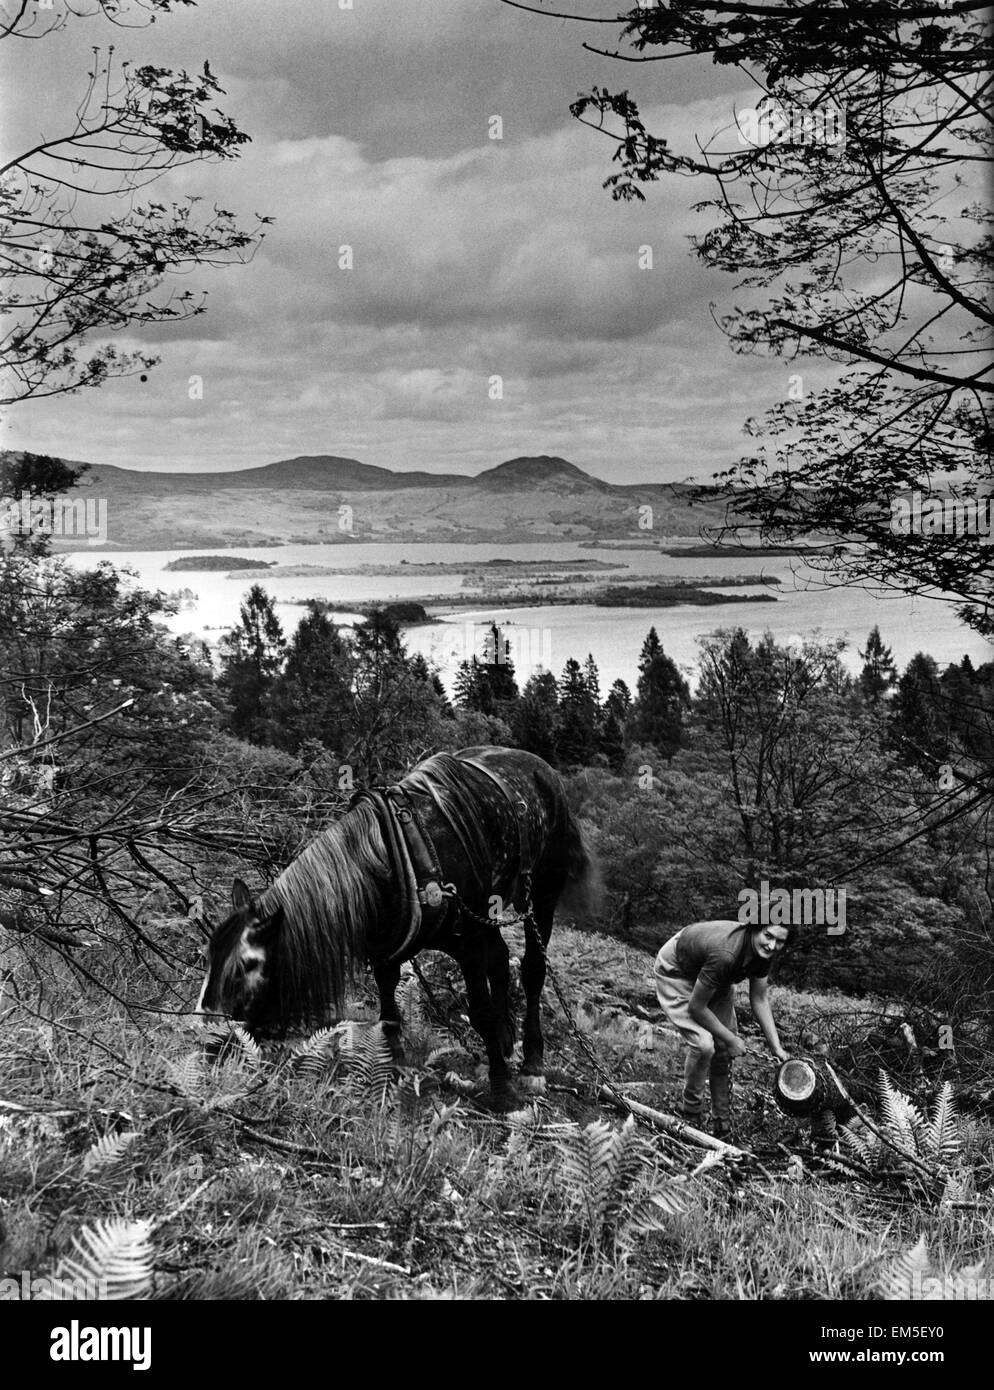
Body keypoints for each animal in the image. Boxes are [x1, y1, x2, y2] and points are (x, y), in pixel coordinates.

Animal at [196, 745, 597, 1100]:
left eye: (245, 968)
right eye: (209, 958)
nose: (206, 1042)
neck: (395, 858)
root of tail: (545, 772)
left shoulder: (469, 941)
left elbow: (479, 1011)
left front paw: (502, 1093)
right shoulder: (387, 950)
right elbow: (389, 1012)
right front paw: (392, 1068)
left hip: (542, 894)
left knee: (531, 969)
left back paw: (531, 1062)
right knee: (500, 961)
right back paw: (505, 1040)